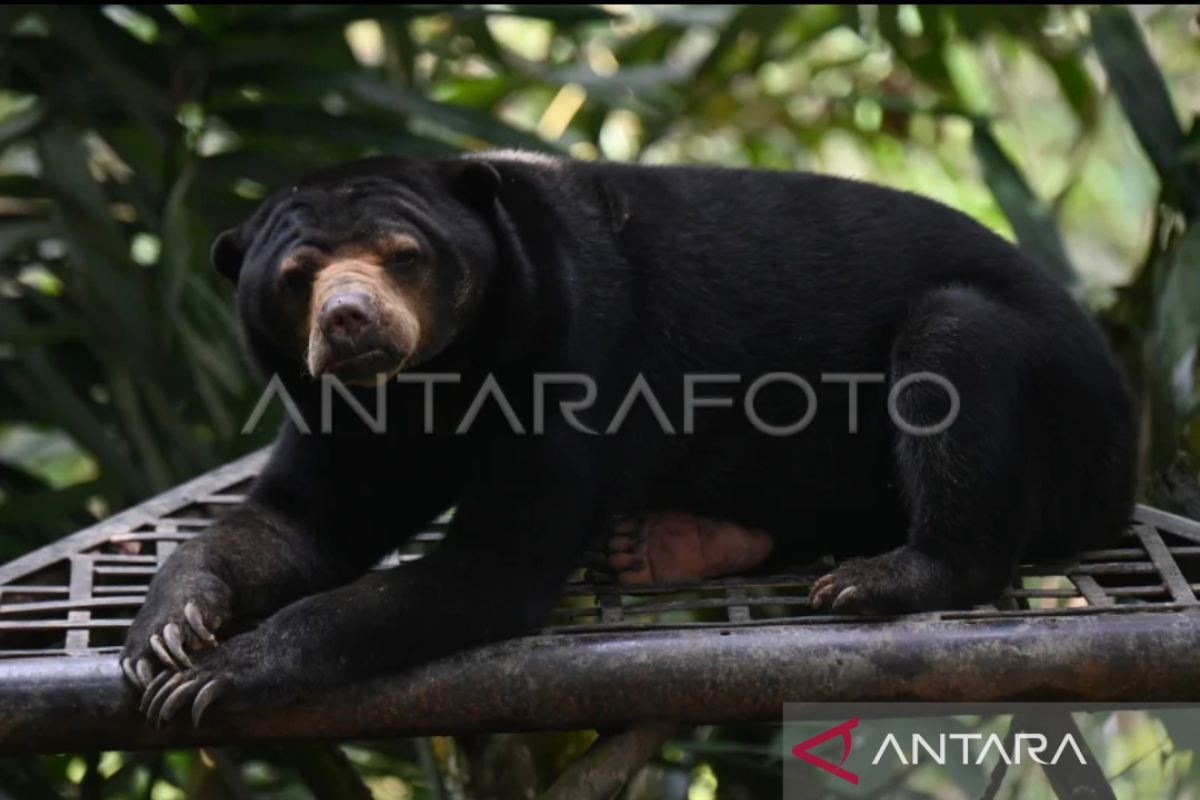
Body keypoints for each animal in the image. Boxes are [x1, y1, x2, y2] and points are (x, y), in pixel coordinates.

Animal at [119, 149, 1132, 724]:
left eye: (405, 257)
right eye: (296, 276)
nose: (351, 323)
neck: (431, 383)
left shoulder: (572, 353)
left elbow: (499, 562)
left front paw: (224, 673)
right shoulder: (343, 409)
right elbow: (300, 521)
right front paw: (167, 633)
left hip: (1052, 396)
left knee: (955, 349)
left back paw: (879, 577)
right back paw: (668, 544)